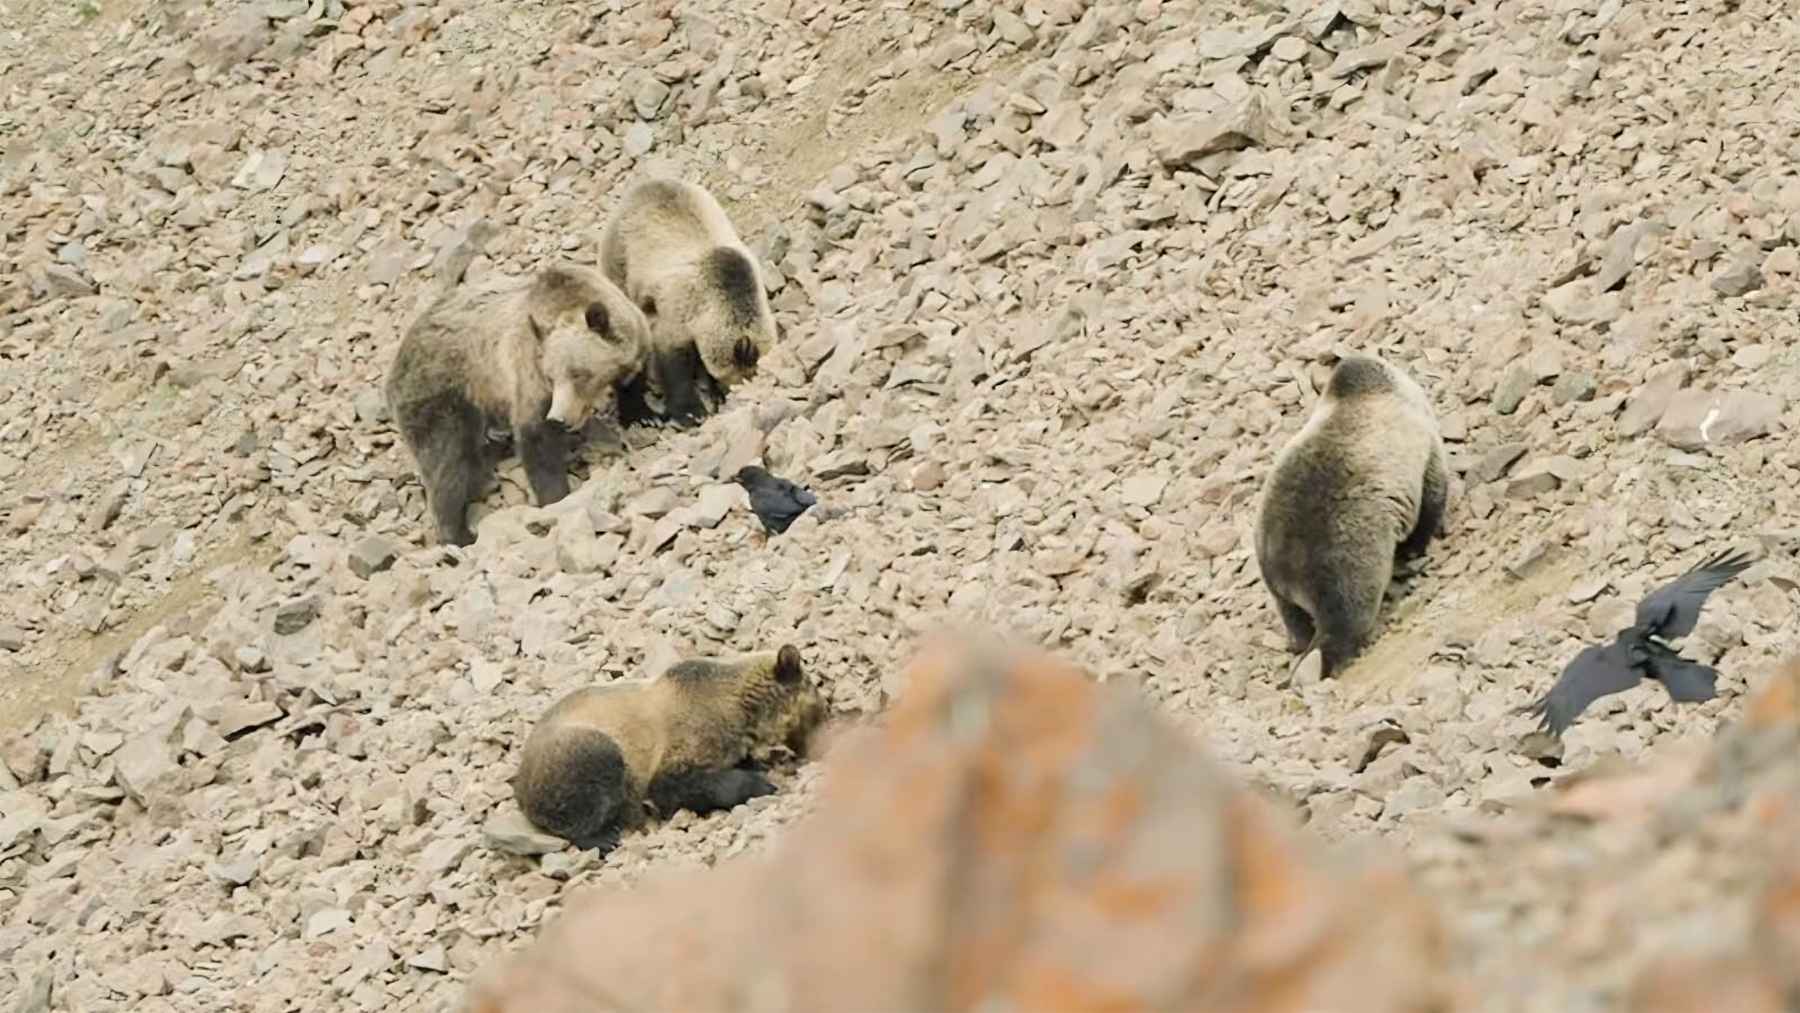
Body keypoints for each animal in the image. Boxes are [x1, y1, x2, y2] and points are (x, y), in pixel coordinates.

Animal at [384, 263, 650, 547]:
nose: (558, 417)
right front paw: (556, 499)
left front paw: (642, 415)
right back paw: (460, 534)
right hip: (441, 393)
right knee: (447, 460)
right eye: (551, 376)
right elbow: (536, 439)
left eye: (579, 373)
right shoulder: (527, 373)